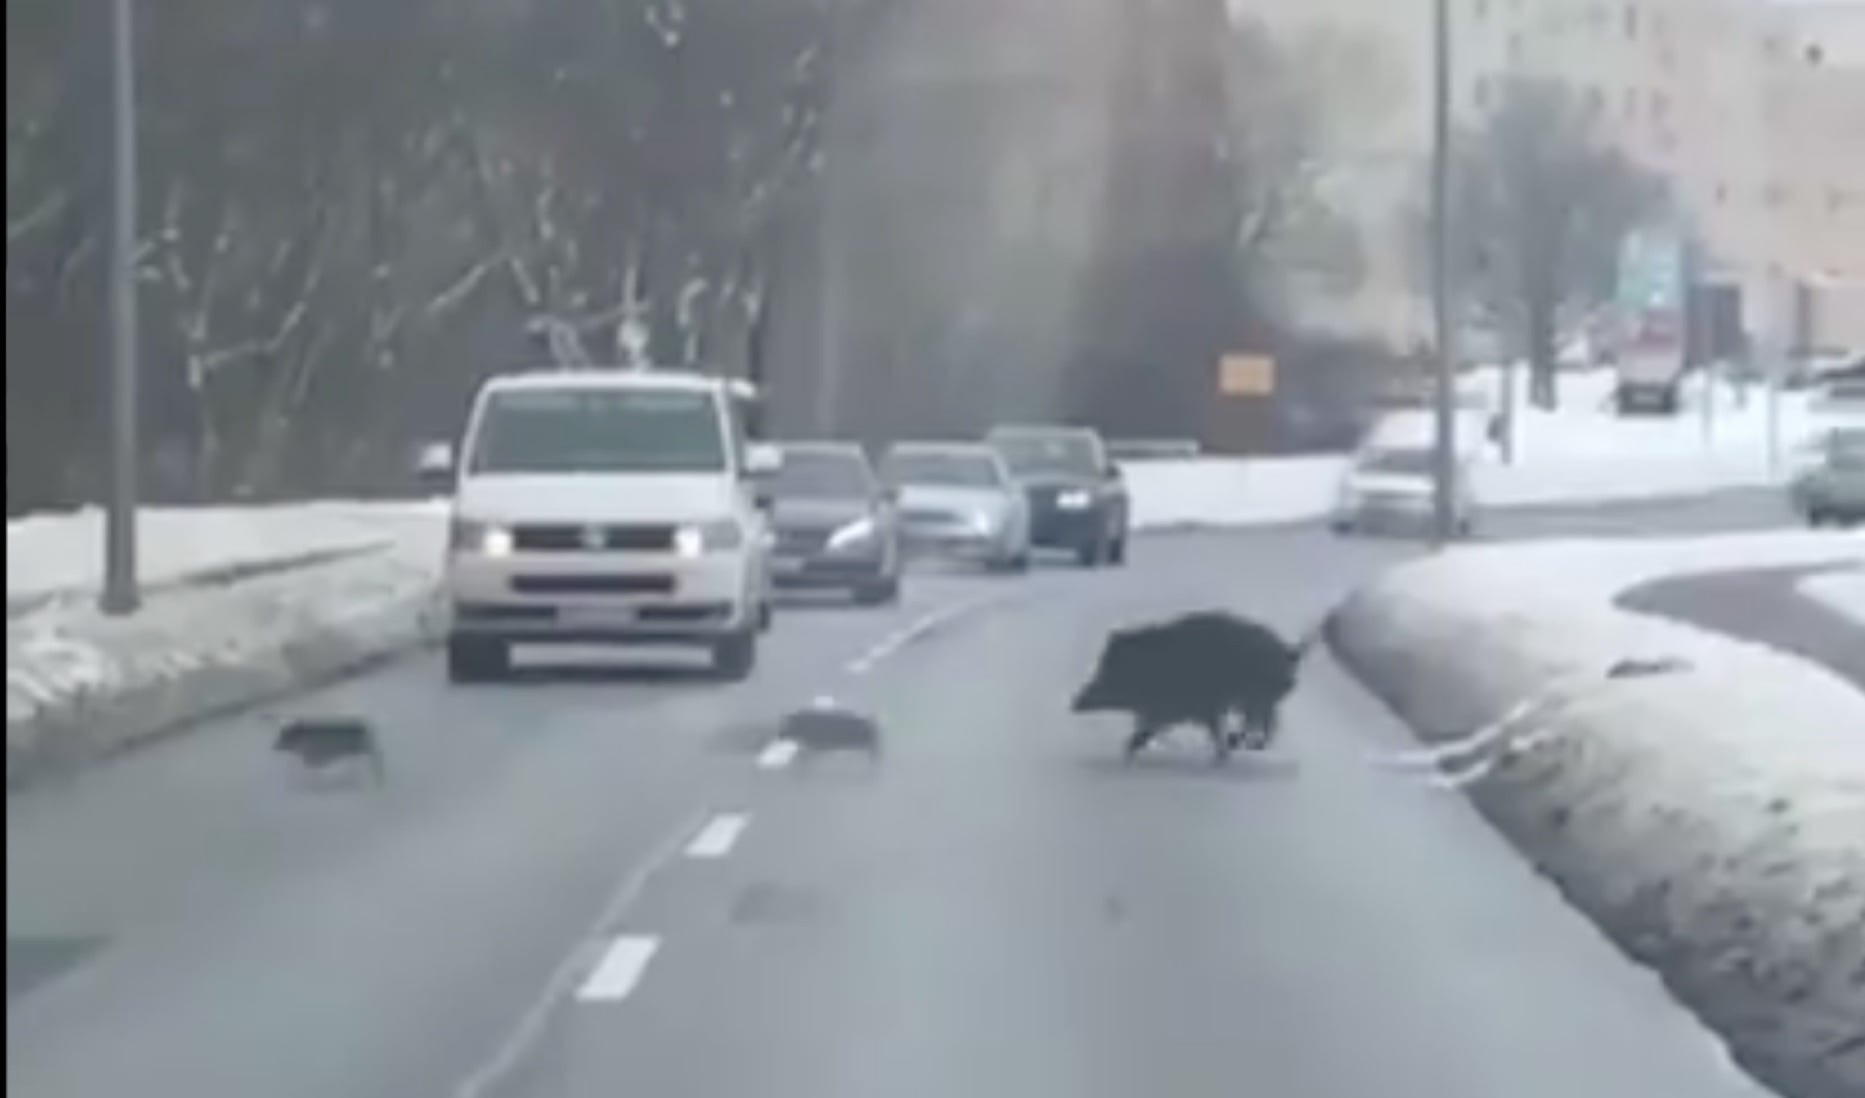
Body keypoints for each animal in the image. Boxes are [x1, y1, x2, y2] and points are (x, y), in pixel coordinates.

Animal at [1072, 611, 1310, 764]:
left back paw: (1242, 744)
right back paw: (1243, 744)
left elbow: (1151, 727)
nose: (1074, 703)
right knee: (1266, 722)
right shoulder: (1189, 709)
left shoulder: (1189, 707)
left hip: (1257, 697)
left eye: (1108, 674)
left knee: (1264, 723)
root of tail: (1288, 652)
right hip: (1258, 700)